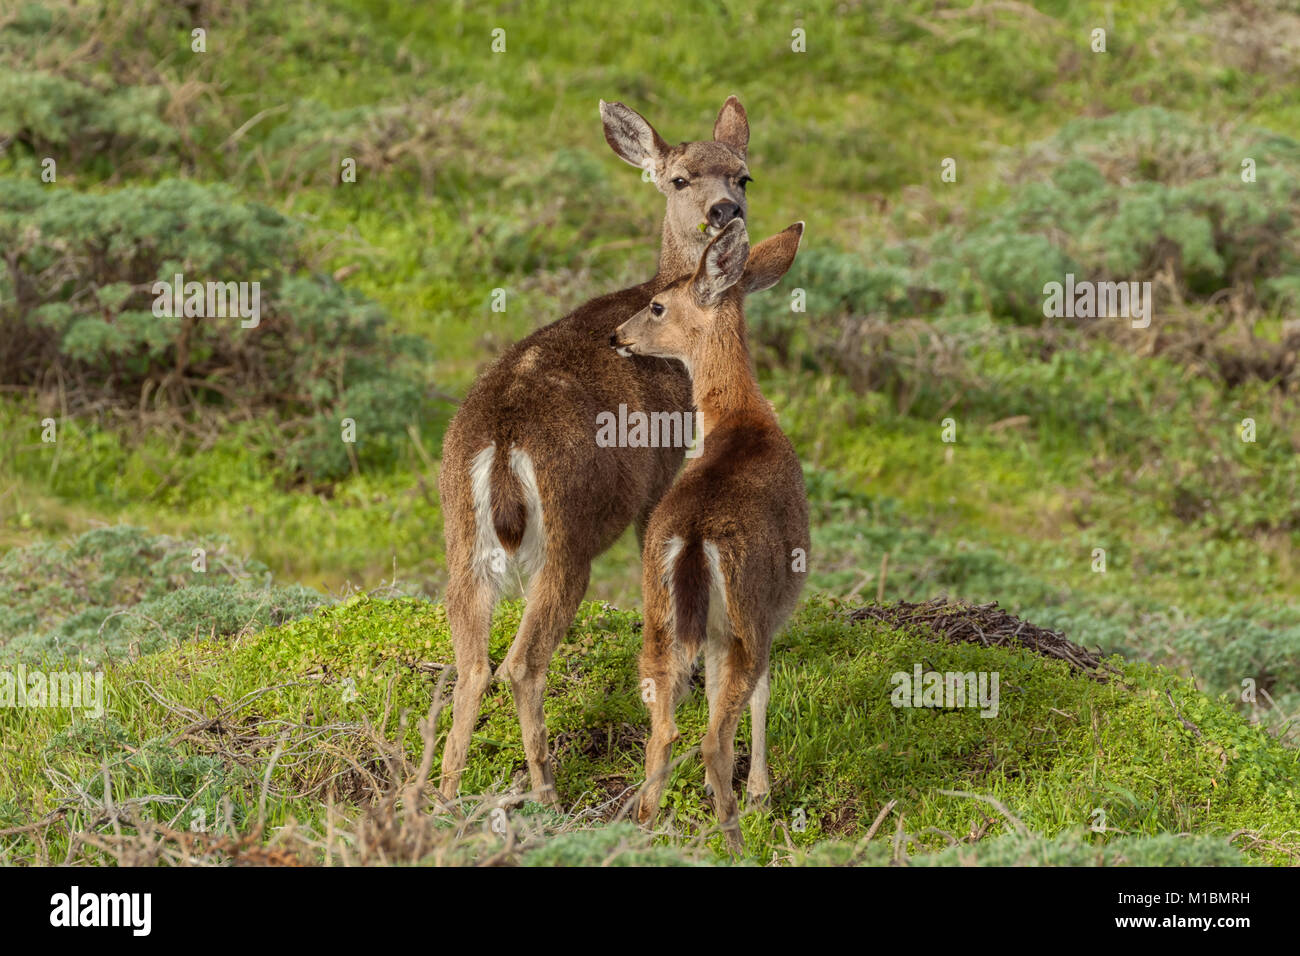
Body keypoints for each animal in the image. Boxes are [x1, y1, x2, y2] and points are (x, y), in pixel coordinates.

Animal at [441, 97, 759, 806]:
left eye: (743, 174)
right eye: (679, 179)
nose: (725, 211)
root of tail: (503, 444)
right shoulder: (660, 471)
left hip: (462, 540)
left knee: (471, 661)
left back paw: (439, 792)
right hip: (567, 535)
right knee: (520, 664)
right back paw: (547, 791)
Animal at [605, 221, 806, 858]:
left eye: (656, 305)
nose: (617, 336)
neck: (742, 418)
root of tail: (694, 541)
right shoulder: (772, 609)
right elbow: (765, 693)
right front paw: (764, 792)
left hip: (659, 614)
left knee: (664, 727)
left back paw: (644, 826)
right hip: (740, 616)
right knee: (716, 735)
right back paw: (737, 837)